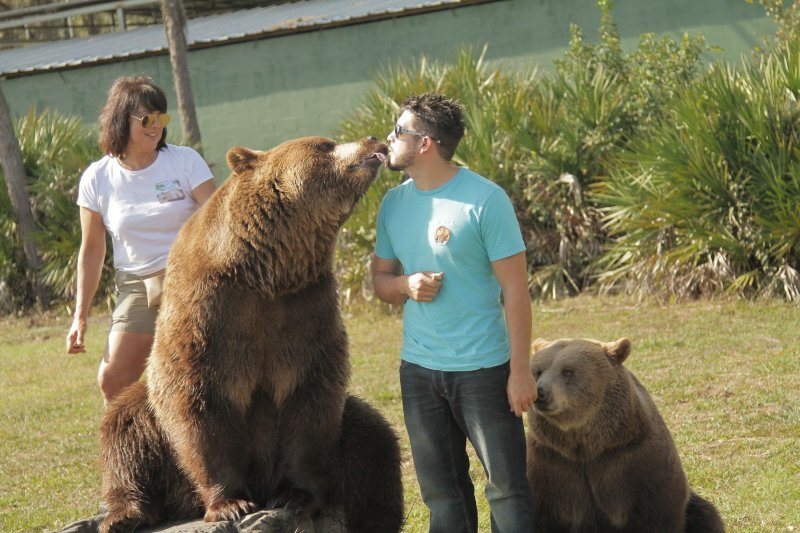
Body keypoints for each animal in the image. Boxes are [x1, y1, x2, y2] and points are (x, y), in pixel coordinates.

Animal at [97, 136, 404, 532]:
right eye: (326, 145)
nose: (374, 140)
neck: (266, 271)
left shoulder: (306, 312)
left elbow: (311, 400)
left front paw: (294, 495)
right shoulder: (208, 314)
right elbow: (197, 401)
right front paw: (231, 503)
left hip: (348, 431)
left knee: (374, 441)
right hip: (152, 431)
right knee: (125, 429)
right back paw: (124, 514)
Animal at [524, 336, 724, 532]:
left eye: (567, 371)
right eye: (538, 371)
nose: (540, 393)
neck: (588, 446)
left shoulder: (635, 460)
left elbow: (658, 514)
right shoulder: (552, 465)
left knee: (706, 514)